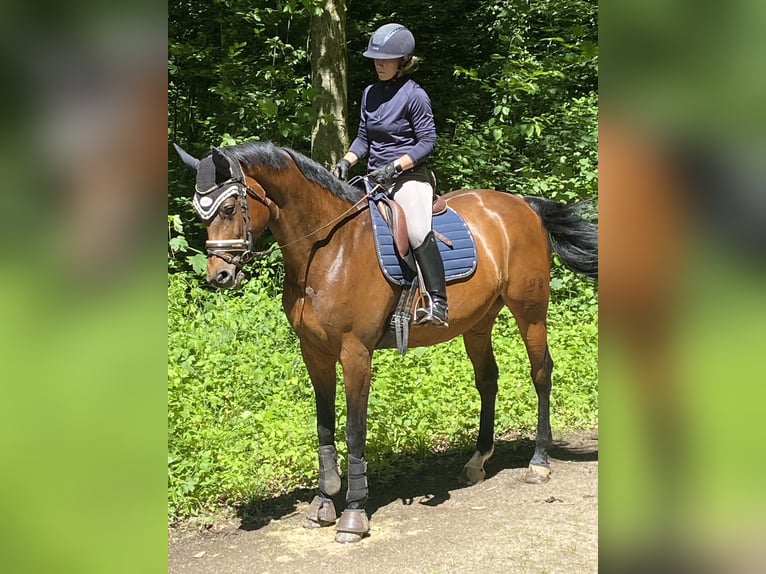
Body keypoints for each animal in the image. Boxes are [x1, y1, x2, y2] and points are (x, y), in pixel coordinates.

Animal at [176, 140, 600, 544]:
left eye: (229, 207)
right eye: (200, 212)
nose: (219, 276)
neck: (327, 249)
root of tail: (522, 204)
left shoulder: (355, 353)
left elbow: (354, 430)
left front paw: (353, 514)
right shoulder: (314, 352)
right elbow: (324, 426)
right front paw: (324, 501)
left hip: (530, 311)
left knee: (541, 373)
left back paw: (538, 462)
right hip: (478, 323)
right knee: (487, 381)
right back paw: (478, 461)